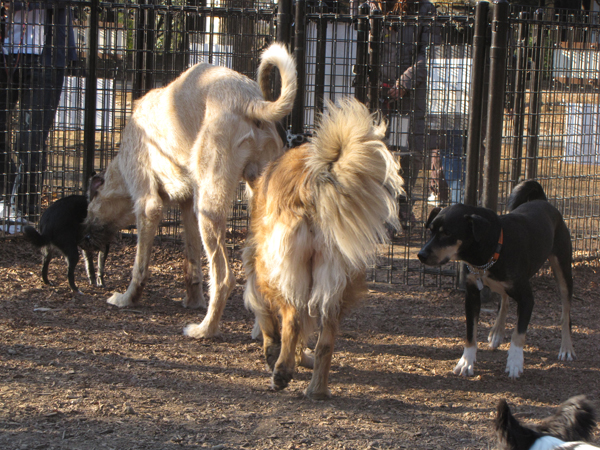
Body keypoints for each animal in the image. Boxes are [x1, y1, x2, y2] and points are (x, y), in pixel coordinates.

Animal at [84, 43, 296, 338]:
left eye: (88, 208)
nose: (84, 237)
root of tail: (250, 99)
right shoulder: (187, 205)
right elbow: (192, 263)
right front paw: (193, 301)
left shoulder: (148, 205)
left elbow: (139, 267)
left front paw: (127, 299)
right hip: (244, 206)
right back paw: (261, 330)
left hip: (209, 208)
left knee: (224, 278)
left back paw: (205, 330)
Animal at [242, 98, 404, 399]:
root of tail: (309, 185)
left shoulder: (257, 267)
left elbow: (267, 316)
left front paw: (274, 351)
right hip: (336, 279)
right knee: (325, 342)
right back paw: (316, 388)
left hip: (277, 268)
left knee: (292, 318)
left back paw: (281, 371)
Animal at [417, 180, 575, 378]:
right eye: (430, 231)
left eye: (447, 233)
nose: (421, 255)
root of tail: (543, 201)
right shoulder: (471, 296)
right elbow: (470, 333)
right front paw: (466, 362)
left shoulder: (527, 299)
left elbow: (518, 334)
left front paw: (515, 362)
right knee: (505, 300)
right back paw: (497, 332)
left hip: (563, 270)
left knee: (565, 313)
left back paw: (566, 348)